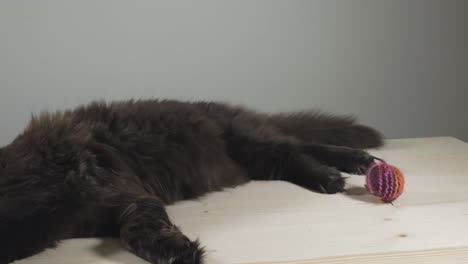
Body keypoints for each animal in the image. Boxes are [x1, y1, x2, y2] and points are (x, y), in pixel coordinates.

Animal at [0, 99, 382, 264]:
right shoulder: (111, 206)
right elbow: (133, 230)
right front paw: (174, 250)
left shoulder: (124, 194)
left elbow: (137, 229)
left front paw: (177, 251)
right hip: (258, 160)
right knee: (301, 149)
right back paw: (350, 165)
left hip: (251, 142)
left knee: (298, 150)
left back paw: (341, 171)